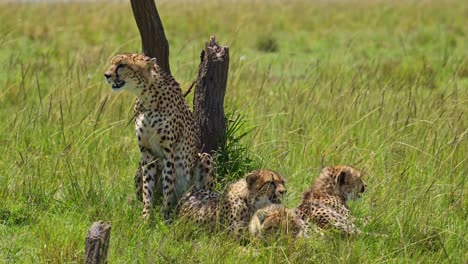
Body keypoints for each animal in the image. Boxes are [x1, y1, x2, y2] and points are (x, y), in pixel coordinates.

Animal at [103, 52, 214, 220]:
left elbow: (167, 186)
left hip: (205, 159)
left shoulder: (169, 152)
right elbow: (146, 188)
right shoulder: (147, 152)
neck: (147, 97)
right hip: (139, 168)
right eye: (112, 63)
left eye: (122, 65)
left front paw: (165, 218)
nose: (106, 75)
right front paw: (145, 217)